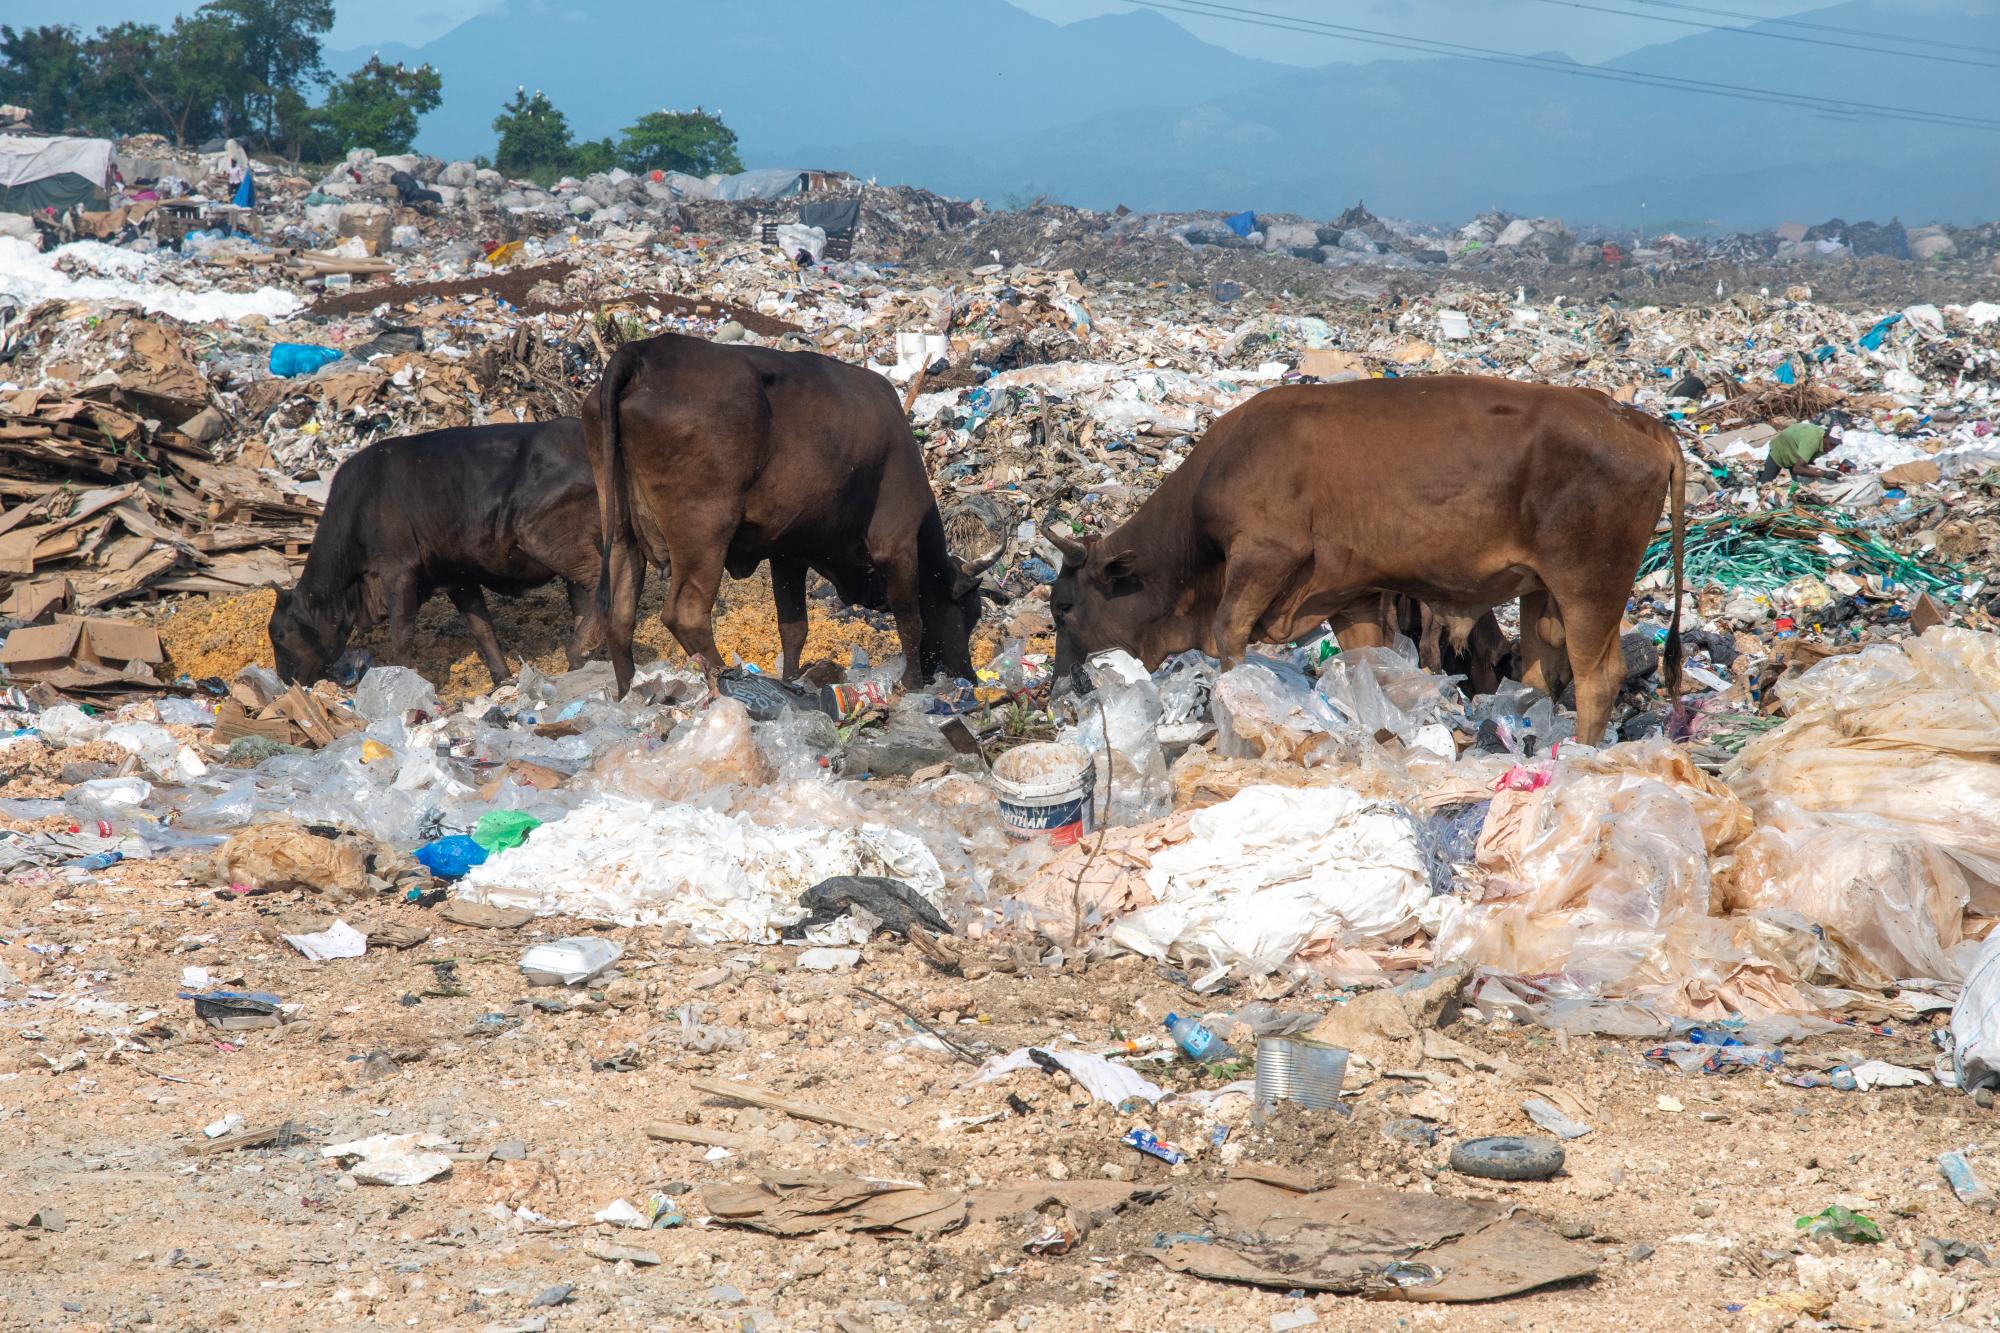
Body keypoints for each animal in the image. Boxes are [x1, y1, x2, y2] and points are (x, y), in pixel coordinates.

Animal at [269, 419, 602, 688]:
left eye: (279, 635)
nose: (285, 680)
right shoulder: (459, 577)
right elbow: (482, 629)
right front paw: (503, 679)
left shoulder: (399, 572)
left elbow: (402, 636)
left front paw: (404, 679)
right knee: (583, 596)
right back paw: (582, 662)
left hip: (548, 539)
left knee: (601, 580)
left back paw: (578, 649)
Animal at [584, 332, 1002, 699]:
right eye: (969, 612)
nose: (969, 676)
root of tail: (644, 353)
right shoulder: (895, 541)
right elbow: (910, 618)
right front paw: (911, 683)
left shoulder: (788, 552)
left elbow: (794, 627)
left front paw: (791, 680)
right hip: (702, 532)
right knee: (685, 614)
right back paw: (726, 680)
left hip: (620, 532)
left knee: (619, 619)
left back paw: (629, 693)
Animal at [1043, 376, 1686, 746]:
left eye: (1064, 606)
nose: (1059, 687)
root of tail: (1640, 421)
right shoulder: (1345, 594)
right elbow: (1364, 664)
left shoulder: (1264, 556)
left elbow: (1229, 637)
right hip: (1542, 592)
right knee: (1536, 674)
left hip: (1590, 586)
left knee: (1597, 679)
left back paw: (1577, 757)